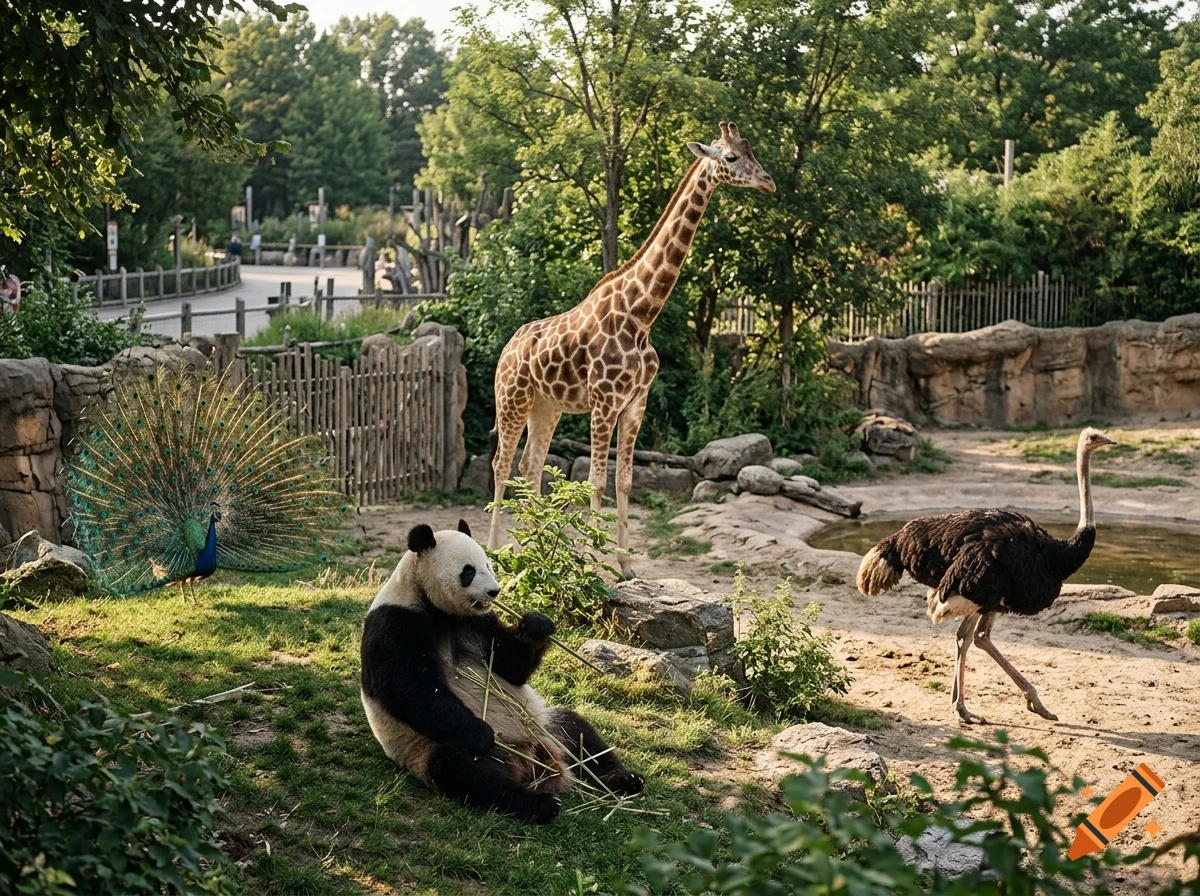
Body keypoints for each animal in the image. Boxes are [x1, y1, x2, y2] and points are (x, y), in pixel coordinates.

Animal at [360, 519, 644, 824]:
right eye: (468, 571)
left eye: (489, 564)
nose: (494, 592)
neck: (436, 607)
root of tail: (534, 762)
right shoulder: (398, 622)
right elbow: (411, 688)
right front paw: (481, 733)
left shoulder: (480, 621)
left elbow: (509, 667)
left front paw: (537, 625)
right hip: (430, 750)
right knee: (465, 772)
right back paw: (539, 804)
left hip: (545, 726)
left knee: (579, 731)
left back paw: (624, 779)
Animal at [486, 122, 775, 576]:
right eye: (731, 157)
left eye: (752, 151)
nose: (768, 182)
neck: (641, 314)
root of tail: (507, 347)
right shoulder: (605, 401)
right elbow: (594, 481)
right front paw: (591, 565)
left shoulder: (637, 401)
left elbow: (624, 480)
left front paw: (625, 566)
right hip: (511, 398)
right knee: (501, 465)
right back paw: (496, 553)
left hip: (546, 406)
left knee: (529, 466)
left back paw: (532, 550)